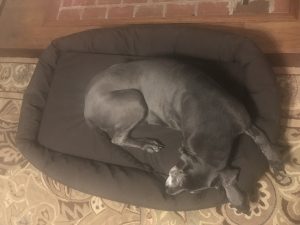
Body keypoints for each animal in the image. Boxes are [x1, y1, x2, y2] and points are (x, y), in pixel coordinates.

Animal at [83, 58, 284, 213]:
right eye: (175, 174)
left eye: (193, 193)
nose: (167, 192)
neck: (213, 127)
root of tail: (86, 111)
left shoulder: (245, 122)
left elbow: (263, 141)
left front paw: (277, 166)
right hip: (134, 99)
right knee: (117, 138)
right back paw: (148, 144)